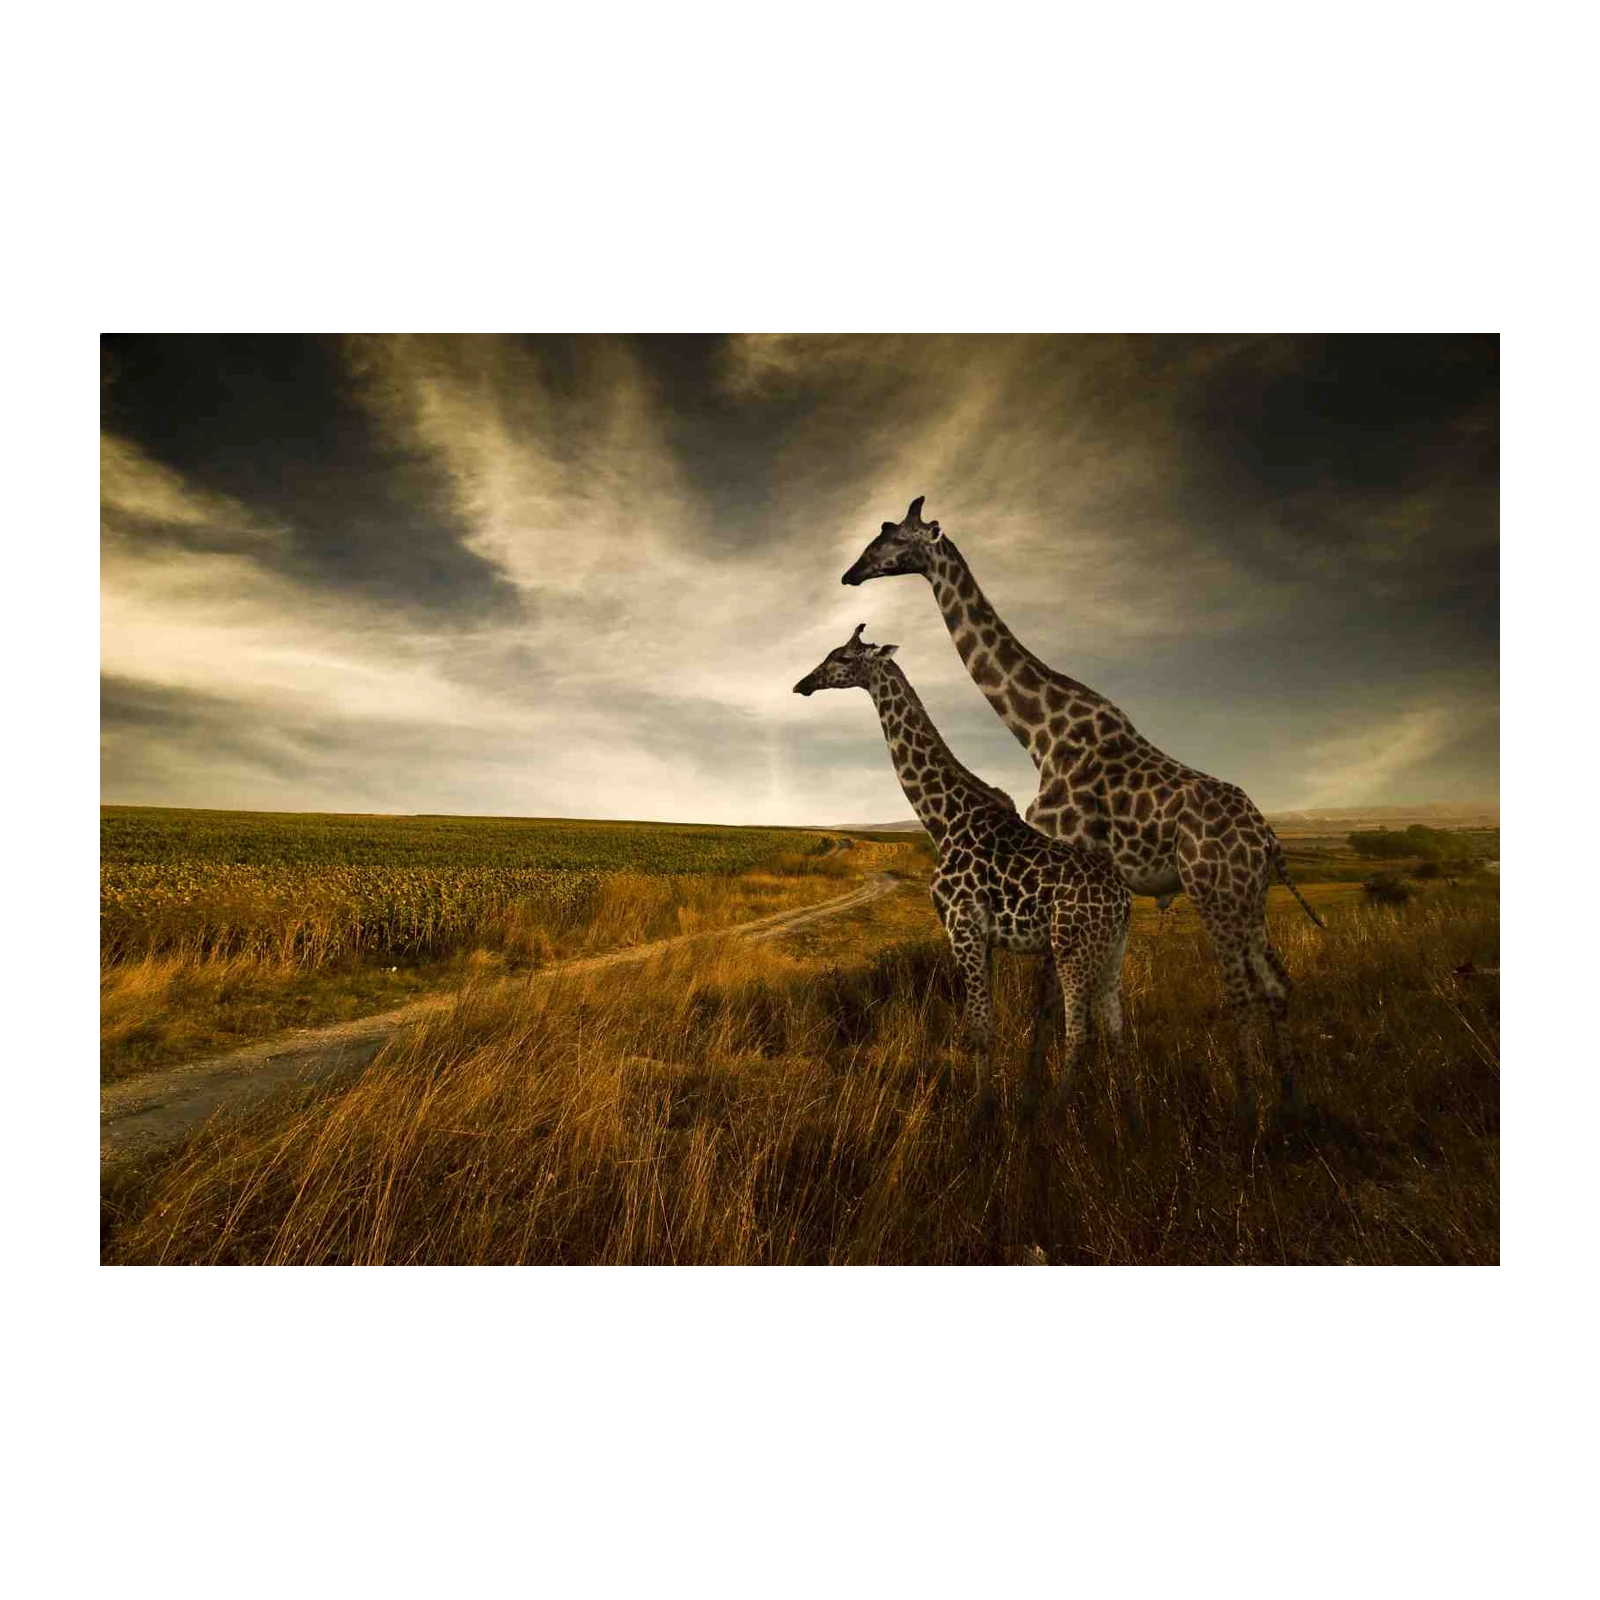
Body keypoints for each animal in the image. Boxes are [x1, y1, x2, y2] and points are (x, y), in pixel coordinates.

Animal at [793, 625, 1131, 1127]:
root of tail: (1124, 902)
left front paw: (980, 1117)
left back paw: (1053, 1118)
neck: (942, 818)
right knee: (1117, 1032)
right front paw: (986, 1108)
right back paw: (1131, 1114)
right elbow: (982, 1025)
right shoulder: (983, 937)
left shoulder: (963, 927)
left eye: (841, 657)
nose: (803, 684)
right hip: (1110, 954)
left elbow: (979, 1028)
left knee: (1079, 1034)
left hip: (1075, 950)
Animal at [842, 498, 1327, 1122]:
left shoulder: (1065, 855)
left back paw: (1247, 1107)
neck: (1038, 730)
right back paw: (1291, 1101)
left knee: (1239, 989)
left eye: (893, 538)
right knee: (1275, 983)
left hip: (1213, 890)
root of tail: (1269, 840)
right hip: (1248, 897)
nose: (851, 574)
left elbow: (1049, 1000)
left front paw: (1038, 1100)